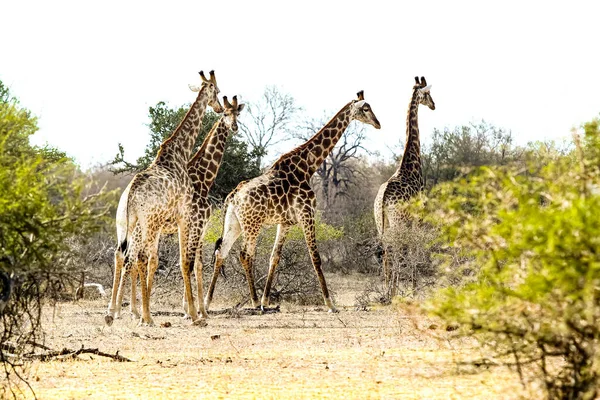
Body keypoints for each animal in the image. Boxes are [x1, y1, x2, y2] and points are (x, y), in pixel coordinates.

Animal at [105, 95, 244, 324]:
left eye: (238, 114)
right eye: (225, 113)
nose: (234, 126)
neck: (204, 179)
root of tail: (127, 198)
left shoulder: (199, 227)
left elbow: (195, 264)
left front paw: (197, 310)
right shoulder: (195, 224)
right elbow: (189, 263)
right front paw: (192, 311)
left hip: (126, 228)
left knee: (124, 257)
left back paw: (123, 311)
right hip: (142, 231)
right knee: (132, 260)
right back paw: (126, 311)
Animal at [202, 90, 380, 312]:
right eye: (365, 108)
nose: (378, 123)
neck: (307, 167)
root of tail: (233, 197)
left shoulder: (285, 222)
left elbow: (274, 257)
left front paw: (266, 301)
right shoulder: (307, 214)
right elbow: (316, 257)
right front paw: (330, 303)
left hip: (234, 223)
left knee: (222, 251)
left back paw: (207, 301)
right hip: (252, 224)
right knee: (245, 254)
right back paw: (252, 301)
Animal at [372, 76, 434, 292]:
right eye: (428, 94)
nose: (434, 105)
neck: (410, 162)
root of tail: (382, 199)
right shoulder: (419, 216)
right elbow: (414, 246)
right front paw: (414, 287)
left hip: (381, 222)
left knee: (386, 251)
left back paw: (387, 288)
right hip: (397, 221)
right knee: (396, 248)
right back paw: (393, 289)